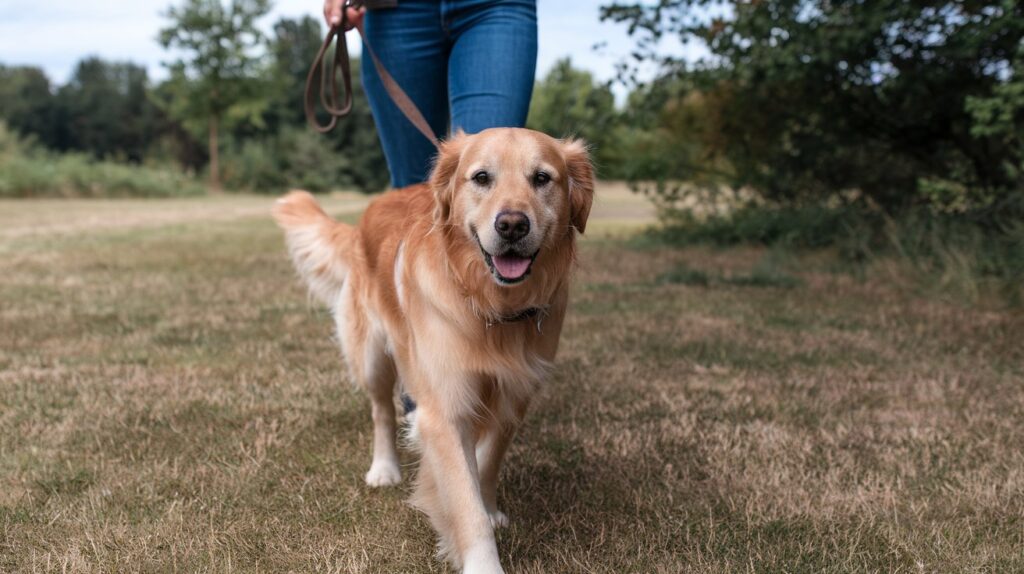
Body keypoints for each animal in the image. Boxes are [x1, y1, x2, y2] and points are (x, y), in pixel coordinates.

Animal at [272, 127, 598, 568]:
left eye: (542, 178)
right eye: (481, 177)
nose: (512, 225)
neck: (490, 306)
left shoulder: (513, 394)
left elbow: (486, 462)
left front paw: (489, 506)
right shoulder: (445, 408)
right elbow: (464, 503)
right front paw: (482, 563)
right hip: (372, 354)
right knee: (382, 411)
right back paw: (384, 468)